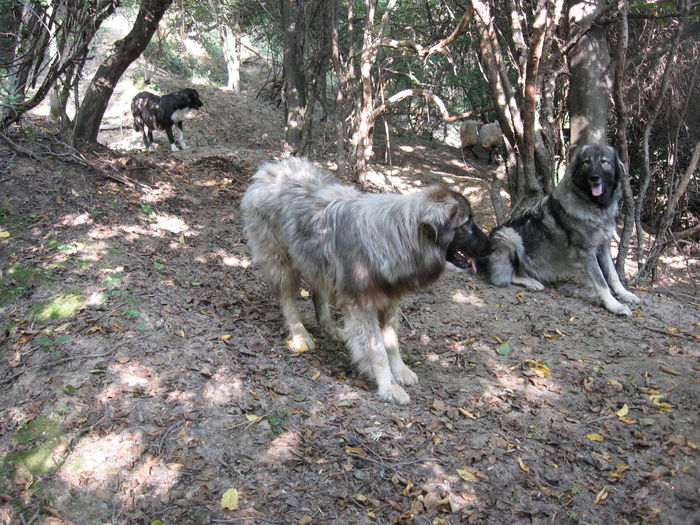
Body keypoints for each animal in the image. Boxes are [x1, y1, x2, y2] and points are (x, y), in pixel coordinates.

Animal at [239, 158, 482, 404]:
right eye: (467, 223)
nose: (488, 243)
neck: (398, 237)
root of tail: (270, 169)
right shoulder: (363, 305)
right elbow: (378, 349)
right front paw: (388, 386)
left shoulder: (389, 300)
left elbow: (391, 342)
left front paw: (400, 371)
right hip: (282, 261)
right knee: (287, 299)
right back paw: (300, 335)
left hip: (318, 263)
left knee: (318, 293)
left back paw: (328, 327)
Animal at [448, 143, 640, 316]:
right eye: (587, 162)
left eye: (604, 161)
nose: (594, 177)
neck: (595, 207)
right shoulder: (586, 251)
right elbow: (601, 282)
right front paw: (614, 305)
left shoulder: (603, 245)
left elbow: (613, 275)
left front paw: (624, 294)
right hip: (511, 236)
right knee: (505, 277)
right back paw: (532, 282)